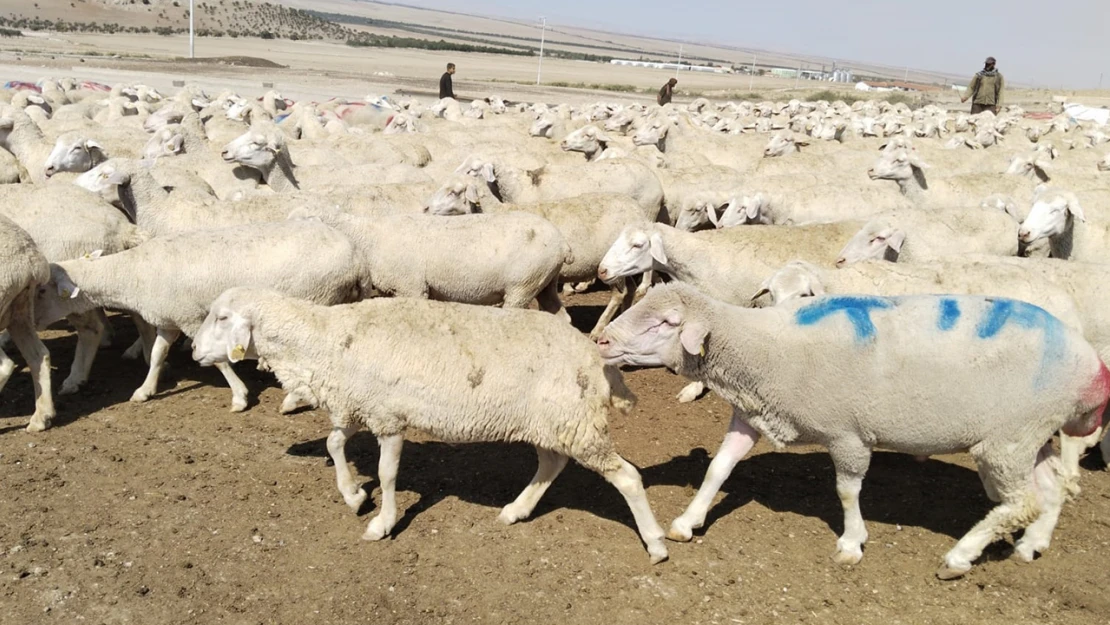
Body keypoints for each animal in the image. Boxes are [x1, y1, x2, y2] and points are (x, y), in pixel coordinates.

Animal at [33, 220, 364, 415]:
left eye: (41, 290)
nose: (29, 322)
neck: (134, 273)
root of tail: (355, 257)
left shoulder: (191, 317)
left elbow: (217, 361)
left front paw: (239, 397)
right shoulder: (169, 319)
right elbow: (157, 354)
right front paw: (145, 390)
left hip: (317, 298)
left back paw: (292, 400)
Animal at [190, 286, 666, 563]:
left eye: (222, 318)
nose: (193, 350)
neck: (325, 339)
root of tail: (594, 355)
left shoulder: (388, 418)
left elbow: (387, 473)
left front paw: (381, 522)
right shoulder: (362, 404)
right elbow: (333, 443)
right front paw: (353, 495)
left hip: (576, 424)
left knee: (626, 477)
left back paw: (656, 543)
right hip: (554, 422)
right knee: (551, 465)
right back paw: (516, 510)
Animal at [599, 280, 1110, 581]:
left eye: (665, 323)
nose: (601, 340)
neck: (763, 347)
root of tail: (1091, 366)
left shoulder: (848, 433)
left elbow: (847, 490)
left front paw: (850, 543)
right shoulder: (750, 415)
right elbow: (718, 470)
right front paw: (687, 522)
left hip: (1007, 439)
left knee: (1021, 502)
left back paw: (960, 557)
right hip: (1031, 434)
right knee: (1051, 488)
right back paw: (1032, 544)